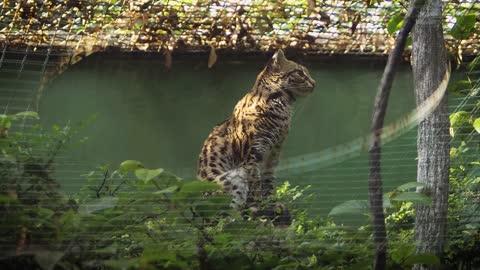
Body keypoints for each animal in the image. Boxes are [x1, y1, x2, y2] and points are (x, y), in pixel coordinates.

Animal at [197, 50, 316, 209]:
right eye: (299, 72)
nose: (314, 83)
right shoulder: (253, 155)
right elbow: (255, 183)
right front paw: (258, 205)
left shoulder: (273, 154)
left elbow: (268, 182)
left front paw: (272, 203)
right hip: (233, 179)